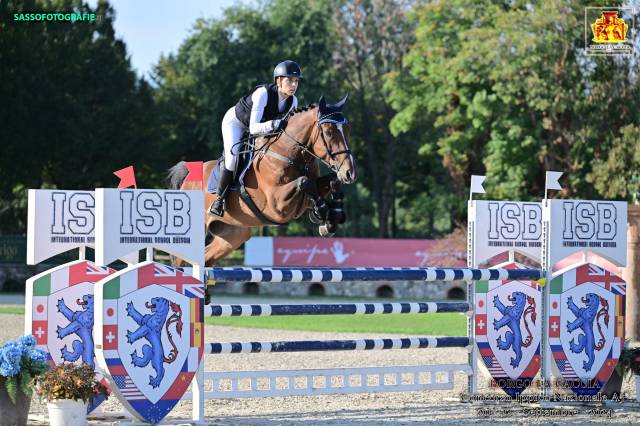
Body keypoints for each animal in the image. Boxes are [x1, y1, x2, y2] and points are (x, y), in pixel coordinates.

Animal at [168, 95, 357, 266]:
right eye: (329, 132)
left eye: (348, 130)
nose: (349, 173)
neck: (289, 153)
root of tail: (187, 178)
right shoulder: (277, 205)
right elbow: (304, 182)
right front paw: (322, 211)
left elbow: (330, 181)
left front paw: (331, 216)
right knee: (179, 262)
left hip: (233, 234)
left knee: (206, 258)